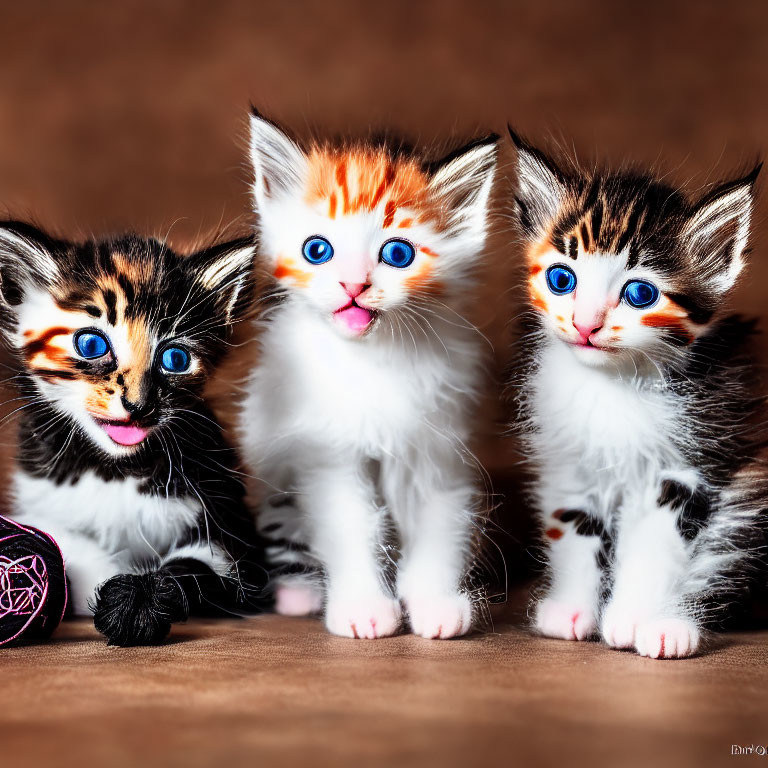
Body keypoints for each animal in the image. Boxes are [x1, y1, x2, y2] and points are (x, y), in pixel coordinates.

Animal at [0, 225, 268, 644]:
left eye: (175, 359)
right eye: (91, 344)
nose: (139, 405)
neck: (114, 469)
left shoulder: (231, 525)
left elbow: (196, 564)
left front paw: (141, 598)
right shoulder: (40, 504)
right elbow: (63, 552)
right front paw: (114, 583)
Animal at [240, 112, 500, 640]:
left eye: (398, 254)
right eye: (317, 250)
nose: (354, 285)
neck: (374, 362)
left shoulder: (440, 451)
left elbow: (440, 530)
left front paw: (436, 603)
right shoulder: (327, 455)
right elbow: (351, 526)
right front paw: (363, 606)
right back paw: (298, 592)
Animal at [510, 130, 768, 656]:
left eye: (640, 295)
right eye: (562, 279)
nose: (585, 325)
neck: (611, 388)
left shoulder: (684, 468)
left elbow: (654, 550)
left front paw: (630, 619)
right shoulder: (568, 463)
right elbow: (573, 532)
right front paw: (571, 610)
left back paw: (672, 625)